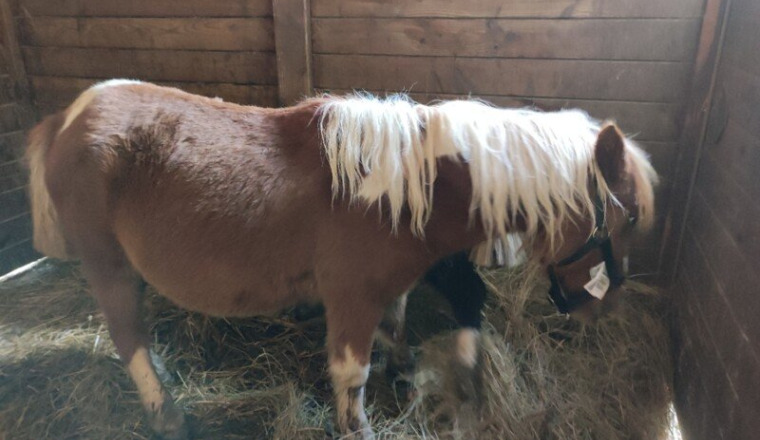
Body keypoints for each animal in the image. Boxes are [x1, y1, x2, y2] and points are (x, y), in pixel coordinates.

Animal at [26, 80, 656, 439]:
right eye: (626, 218)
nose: (597, 310)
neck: (407, 188)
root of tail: (70, 115)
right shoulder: (350, 299)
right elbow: (352, 373)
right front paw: (356, 427)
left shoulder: (390, 288)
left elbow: (396, 327)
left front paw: (403, 371)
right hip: (107, 265)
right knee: (127, 336)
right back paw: (165, 413)